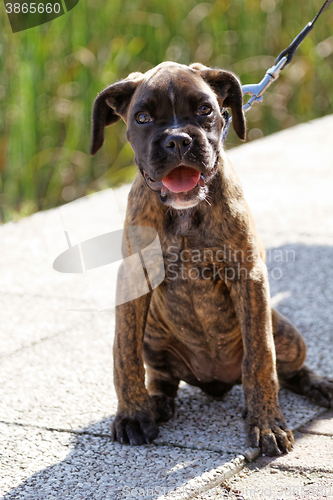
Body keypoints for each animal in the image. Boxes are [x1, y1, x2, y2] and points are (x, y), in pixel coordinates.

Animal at [89, 62, 332, 458]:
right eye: (142, 118)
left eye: (205, 110)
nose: (178, 140)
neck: (185, 212)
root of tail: (215, 382)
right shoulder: (134, 278)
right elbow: (123, 353)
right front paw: (132, 415)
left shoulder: (249, 276)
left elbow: (260, 356)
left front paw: (266, 422)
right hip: (154, 337)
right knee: (163, 380)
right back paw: (156, 404)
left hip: (287, 333)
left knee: (288, 369)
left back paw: (318, 386)